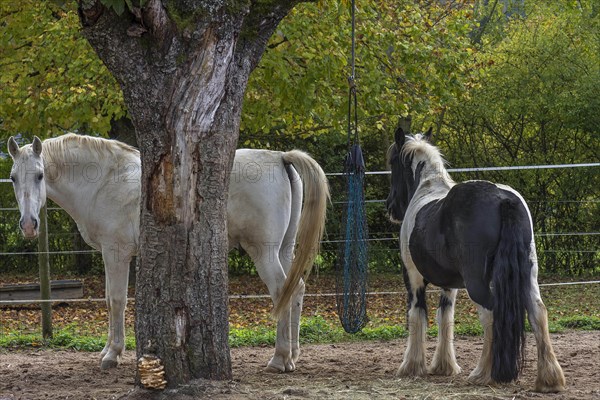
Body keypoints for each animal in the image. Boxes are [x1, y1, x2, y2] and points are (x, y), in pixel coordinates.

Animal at [8, 134, 328, 372]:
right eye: (13, 178)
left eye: (40, 175)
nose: (28, 225)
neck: (105, 180)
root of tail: (280, 158)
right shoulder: (110, 255)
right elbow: (109, 300)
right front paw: (108, 350)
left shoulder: (117, 253)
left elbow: (116, 301)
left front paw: (112, 354)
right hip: (284, 250)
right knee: (296, 288)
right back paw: (292, 356)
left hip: (263, 252)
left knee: (281, 290)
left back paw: (278, 359)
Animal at [386, 128, 564, 390]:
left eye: (391, 162)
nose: (390, 207)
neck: (425, 189)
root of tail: (503, 199)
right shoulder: (449, 285)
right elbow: (445, 317)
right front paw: (444, 366)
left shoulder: (413, 278)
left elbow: (416, 315)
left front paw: (411, 366)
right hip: (528, 273)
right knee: (538, 312)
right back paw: (549, 379)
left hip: (477, 283)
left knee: (490, 313)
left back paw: (483, 373)